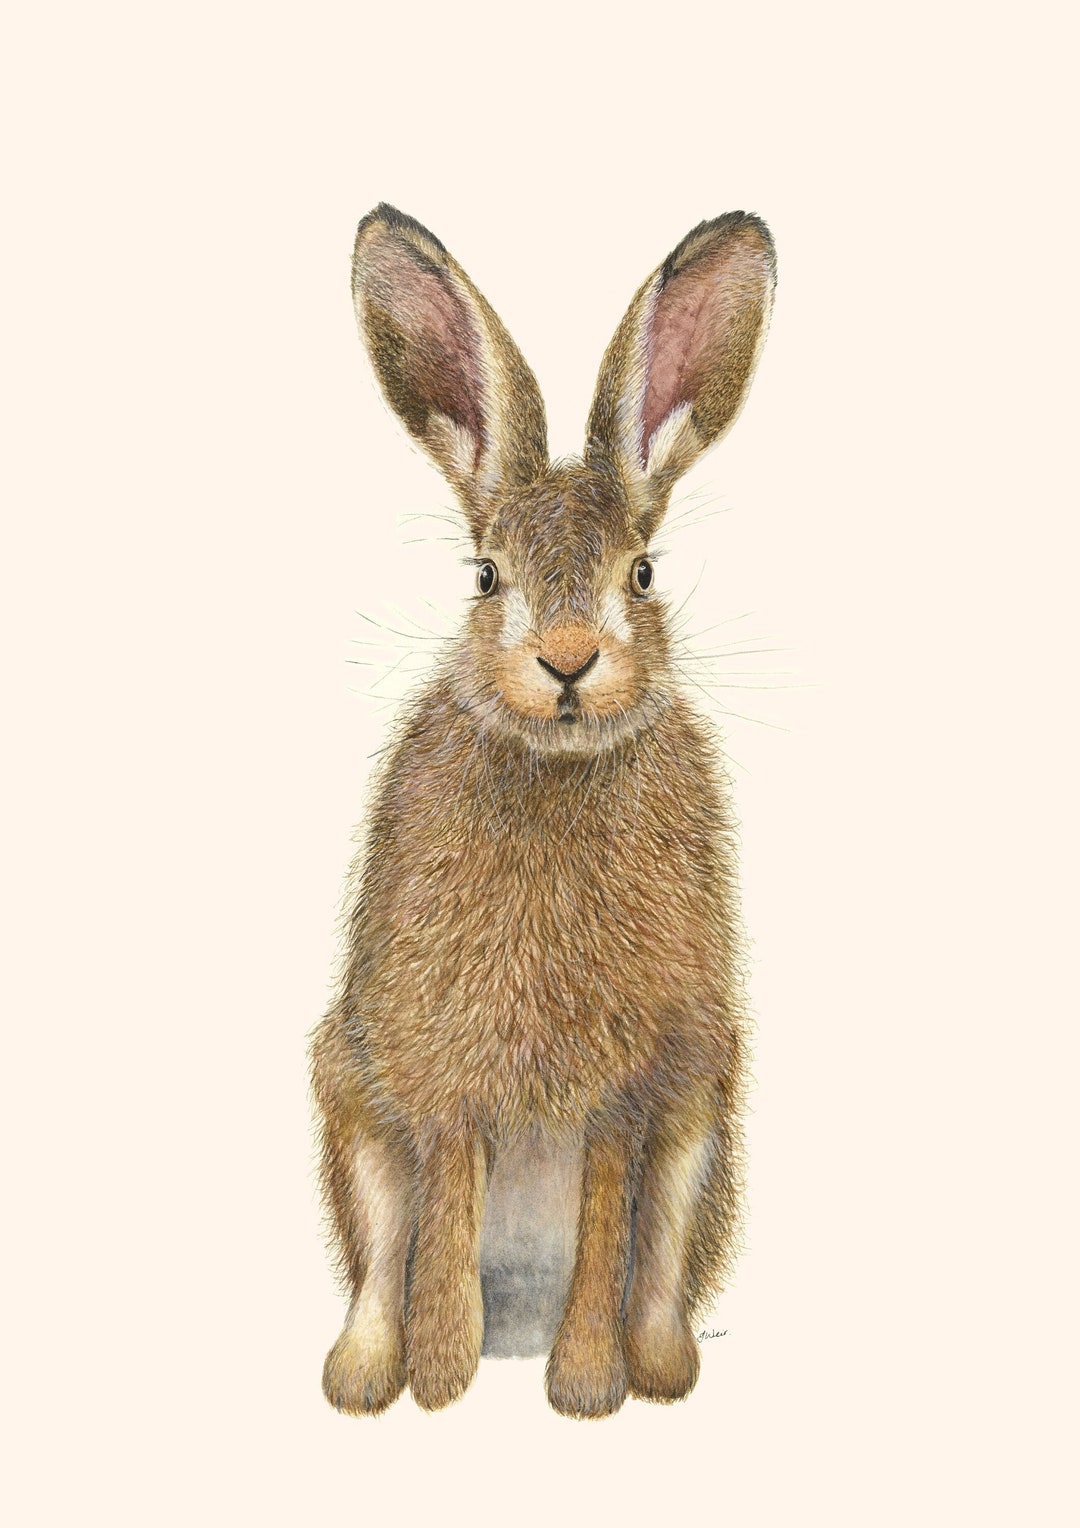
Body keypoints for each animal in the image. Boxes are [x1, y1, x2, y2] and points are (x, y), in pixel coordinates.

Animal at [311, 203, 776, 1418]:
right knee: (382, 1256)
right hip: (346, 1095)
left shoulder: (633, 1086)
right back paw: (367, 1376)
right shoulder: (437, 1078)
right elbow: (446, 1203)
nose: (567, 660)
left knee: (650, 1271)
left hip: (703, 1120)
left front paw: (582, 1392)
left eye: (643, 572)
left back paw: (652, 1369)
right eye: (485, 576)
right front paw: (440, 1381)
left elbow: (608, 1214)